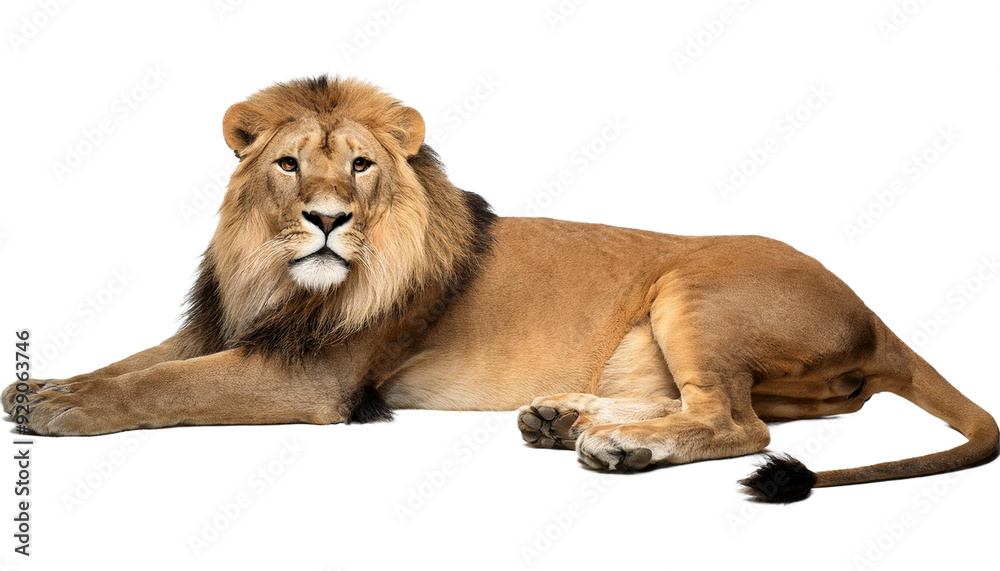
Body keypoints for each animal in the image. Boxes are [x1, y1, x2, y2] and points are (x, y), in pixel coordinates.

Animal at [4, 76, 996, 502]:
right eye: (288, 165)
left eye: (361, 166)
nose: (326, 219)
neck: (273, 271)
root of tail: (876, 315)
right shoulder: (226, 327)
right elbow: (134, 361)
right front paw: (42, 384)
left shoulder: (315, 377)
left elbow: (162, 384)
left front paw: (60, 410)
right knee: (709, 404)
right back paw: (565, 418)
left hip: (694, 286)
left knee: (734, 420)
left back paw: (617, 449)